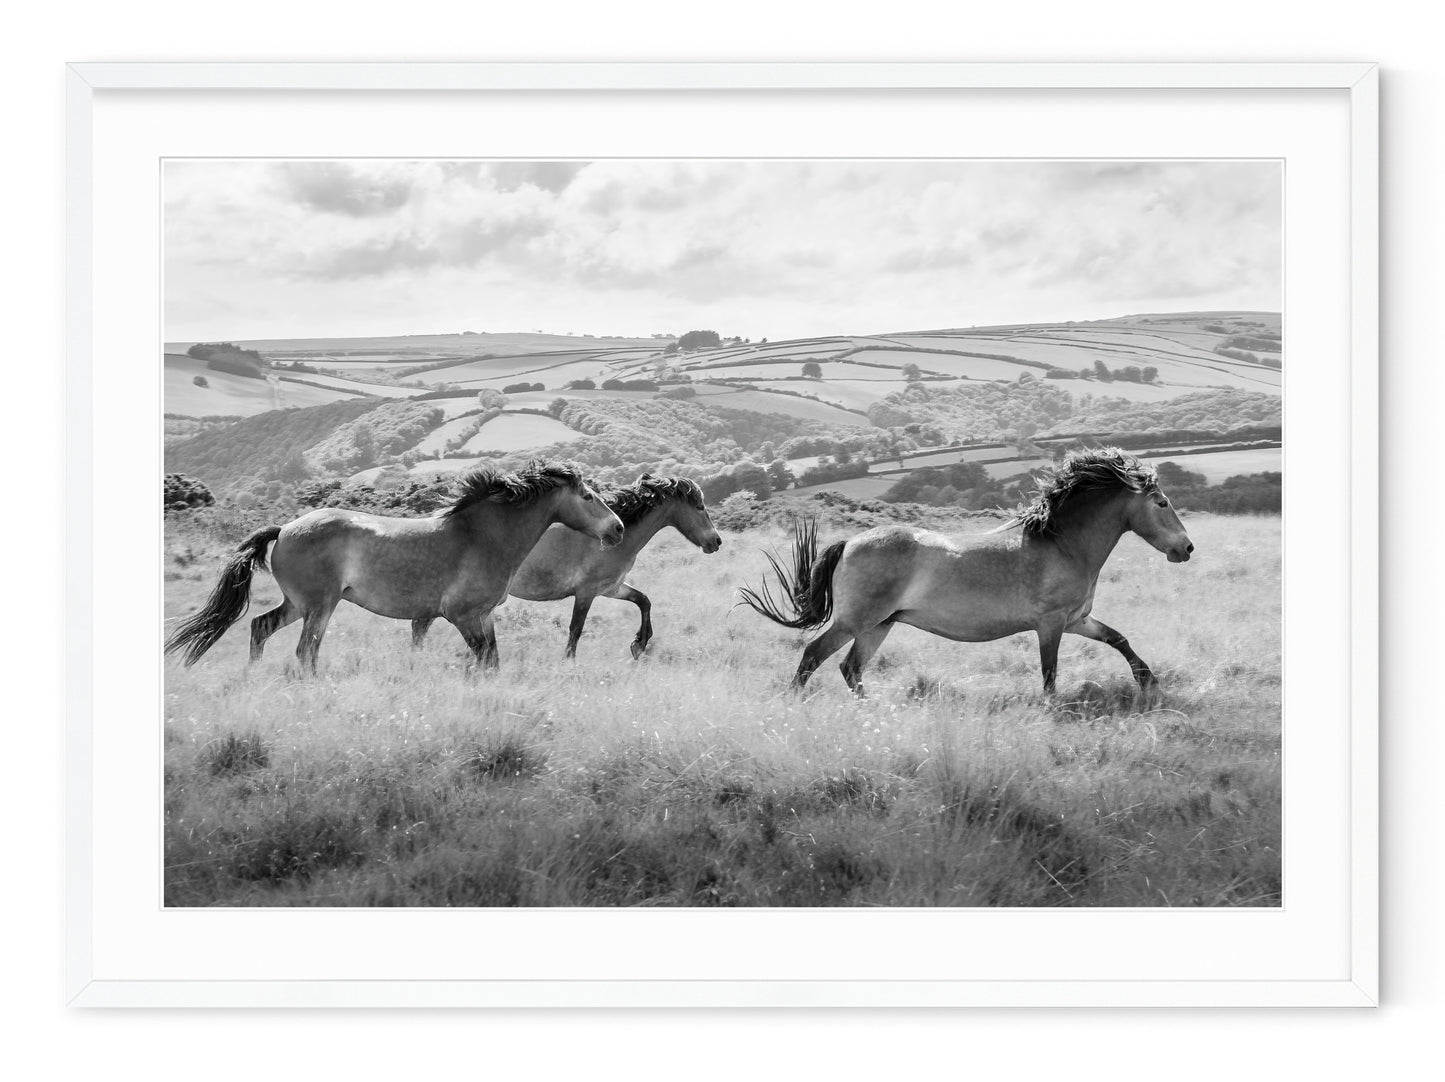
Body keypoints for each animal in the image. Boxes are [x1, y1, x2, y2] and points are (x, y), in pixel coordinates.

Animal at [164, 460, 625, 674]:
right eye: (587, 496)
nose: (618, 529)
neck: (483, 536)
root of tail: (287, 527)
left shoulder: (483, 616)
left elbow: (491, 659)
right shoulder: (462, 616)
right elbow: (484, 660)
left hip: (297, 604)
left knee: (261, 627)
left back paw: (252, 676)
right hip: (320, 605)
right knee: (306, 650)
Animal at [409, 474, 722, 658]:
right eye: (699, 507)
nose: (716, 541)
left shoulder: (612, 588)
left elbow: (644, 601)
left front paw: (639, 644)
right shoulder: (586, 592)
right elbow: (575, 629)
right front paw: (569, 662)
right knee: (420, 624)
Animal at [738, 447, 1193, 695]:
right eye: (1162, 503)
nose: (1186, 548)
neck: (1063, 544)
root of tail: (849, 542)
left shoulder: (1077, 620)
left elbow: (1119, 639)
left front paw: (1148, 682)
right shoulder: (1050, 625)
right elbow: (1049, 673)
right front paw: (1050, 710)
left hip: (879, 624)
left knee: (851, 668)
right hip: (856, 620)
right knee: (813, 656)